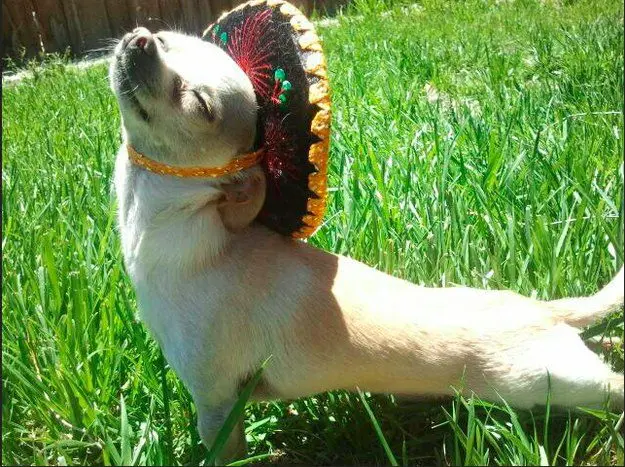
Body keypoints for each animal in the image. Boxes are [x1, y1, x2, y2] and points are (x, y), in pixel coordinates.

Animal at [109, 27, 620, 462]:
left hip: (548, 385)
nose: (142, 40)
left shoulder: (214, 402)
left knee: (611, 386)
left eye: (199, 104)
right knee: (599, 339)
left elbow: (221, 451)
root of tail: (544, 312)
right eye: (166, 38)